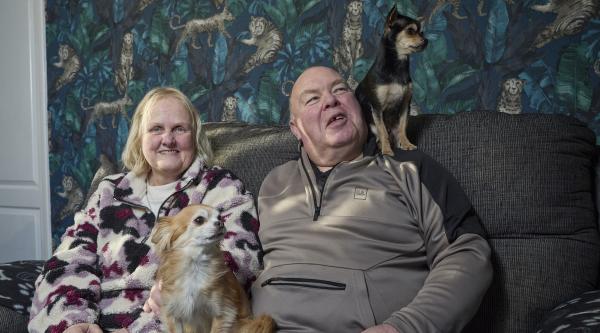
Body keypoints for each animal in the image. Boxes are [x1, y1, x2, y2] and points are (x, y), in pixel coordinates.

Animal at [356, 6, 426, 154]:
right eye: (410, 31)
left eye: (422, 32)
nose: (426, 40)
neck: (398, 65)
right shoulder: (376, 108)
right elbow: (382, 131)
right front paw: (387, 151)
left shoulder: (405, 105)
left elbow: (402, 127)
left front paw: (406, 144)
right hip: (371, 127)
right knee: (379, 136)